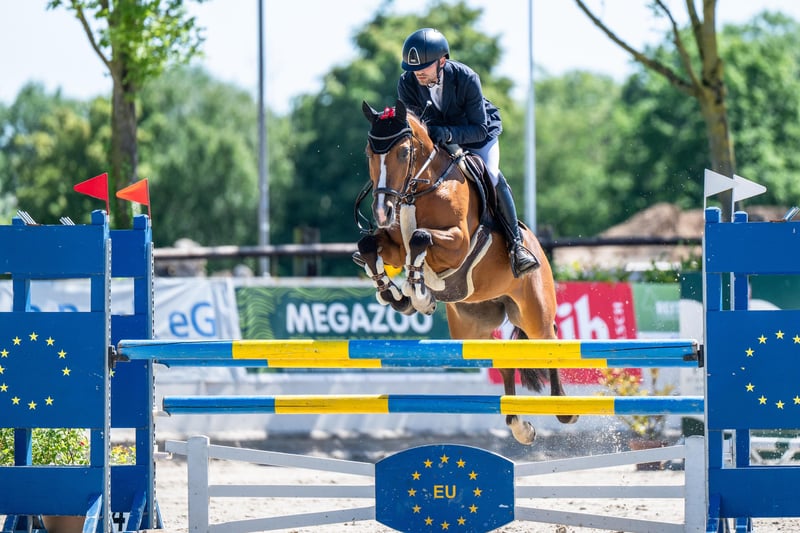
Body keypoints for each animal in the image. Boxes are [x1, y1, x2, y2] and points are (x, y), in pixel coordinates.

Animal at [353, 99, 578, 445]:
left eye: (403, 153)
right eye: (369, 153)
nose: (382, 212)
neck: (421, 188)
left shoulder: (457, 242)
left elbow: (420, 237)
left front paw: (419, 294)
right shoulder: (394, 243)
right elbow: (371, 244)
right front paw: (397, 295)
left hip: (534, 312)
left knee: (548, 343)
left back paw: (565, 409)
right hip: (473, 327)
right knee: (503, 360)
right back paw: (520, 426)